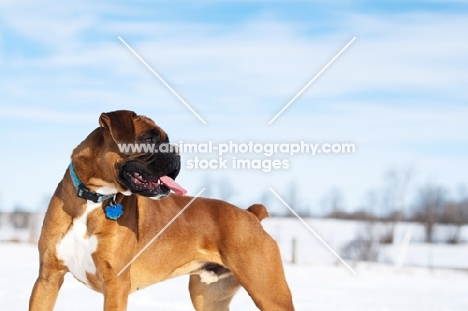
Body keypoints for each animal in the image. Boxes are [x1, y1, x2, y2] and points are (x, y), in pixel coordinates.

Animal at [28, 111, 292, 310]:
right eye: (149, 139)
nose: (175, 151)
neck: (93, 197)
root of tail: (250, 213)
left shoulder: (115, 285)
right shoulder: (47, 279)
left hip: (269, 294)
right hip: (208, 296)